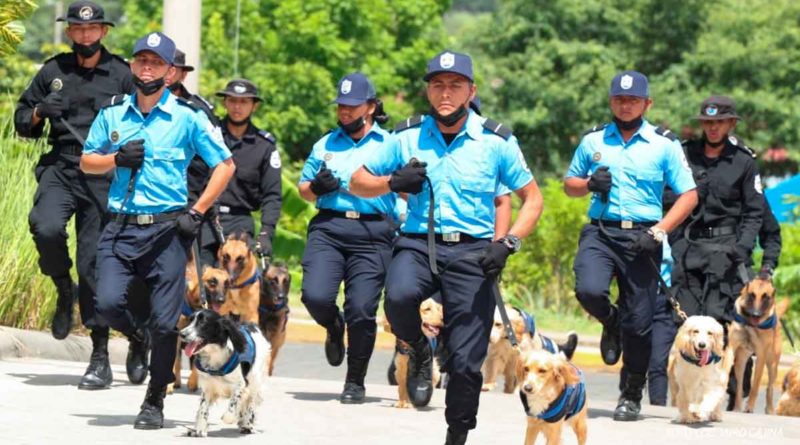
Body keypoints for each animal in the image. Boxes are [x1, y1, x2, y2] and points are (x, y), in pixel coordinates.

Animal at [728, 274, 792, 412]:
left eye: (766, 297)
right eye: (752, 295)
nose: (755, 314)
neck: (749, 324)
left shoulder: (761, 357)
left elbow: (755, 386)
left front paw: (750, 407)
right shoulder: (733, 350)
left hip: (772, 365)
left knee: (770, 387)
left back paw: (770, 409)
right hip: (740, 362)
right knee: (740, 386)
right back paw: (737, 407)